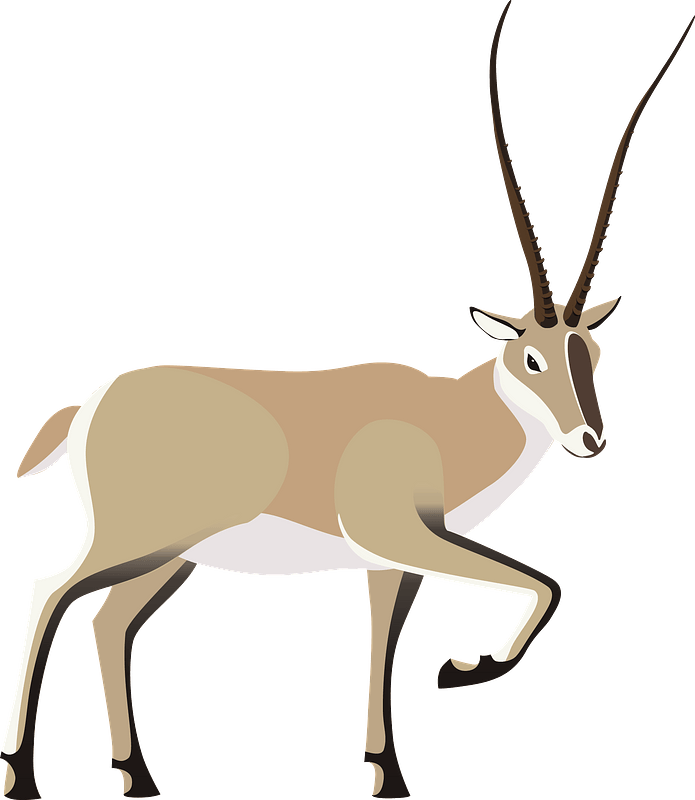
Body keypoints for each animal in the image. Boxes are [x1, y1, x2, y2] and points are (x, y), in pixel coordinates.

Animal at [2, 2, 693, 798]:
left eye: (592, 355)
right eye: (530, 357)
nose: (589, 440)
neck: (445, 421)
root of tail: (93, 401)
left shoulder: (390, 562)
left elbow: (384, 644)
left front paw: (387, 770)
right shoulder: (401, 537)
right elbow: (541, 584)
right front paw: (462, 670)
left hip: (170, 556)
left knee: (109, 621)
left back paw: (136, 775)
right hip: (134, 540)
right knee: (50, 590)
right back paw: (22, 771)